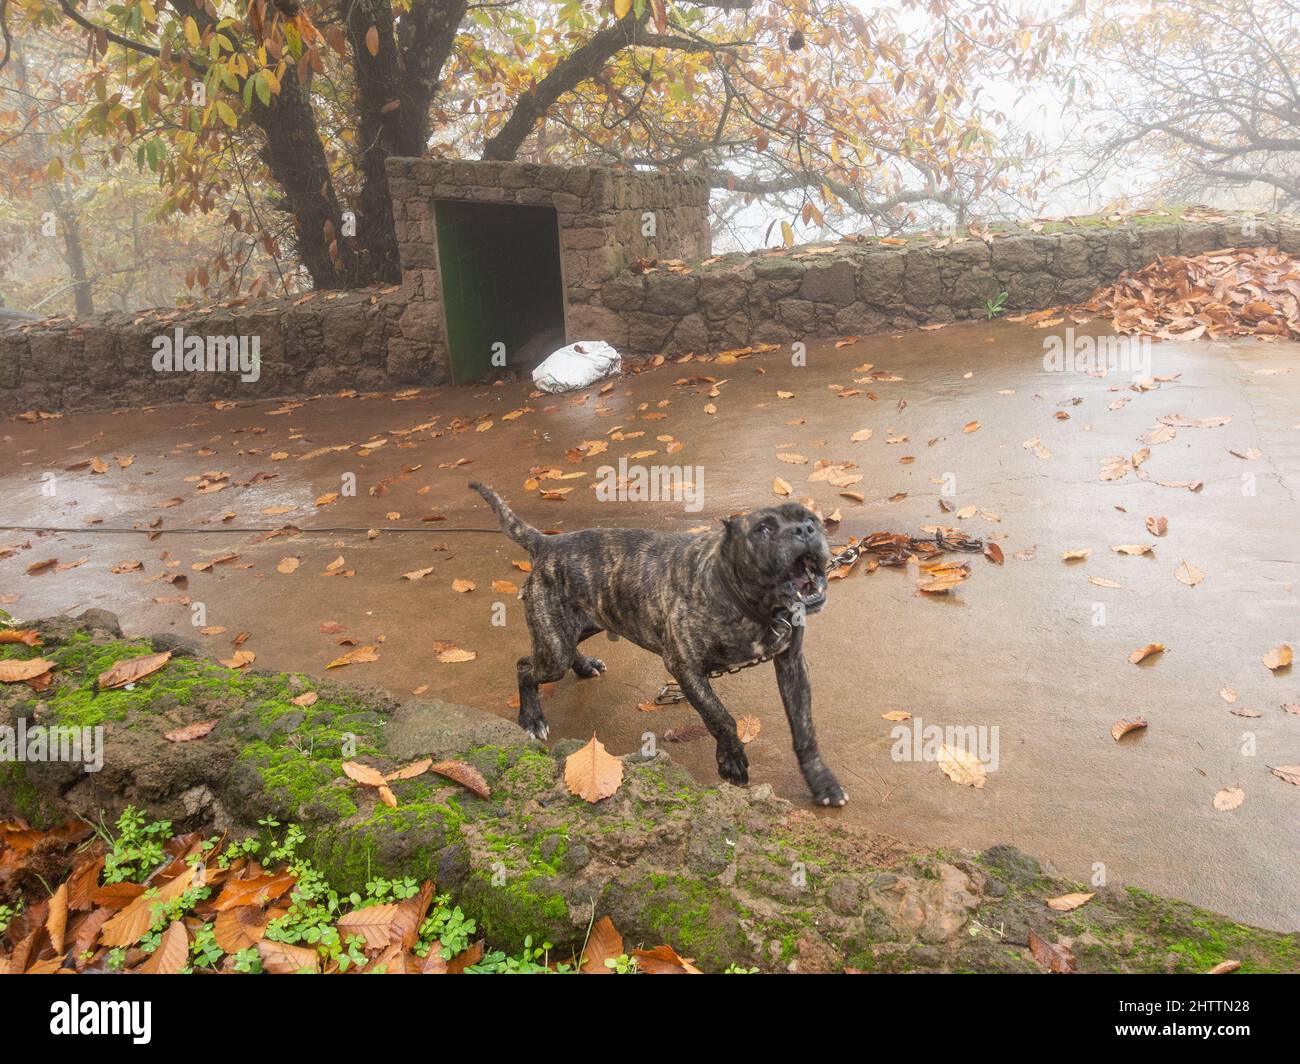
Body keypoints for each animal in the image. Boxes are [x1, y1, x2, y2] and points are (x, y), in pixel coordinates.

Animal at [473, 481, 847, 806]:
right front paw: (731, 759)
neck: (747, 602)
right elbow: (720, 717)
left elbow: (805, 730)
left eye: (811, 520)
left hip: (585, 623)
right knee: (525, 666)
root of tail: (548, 544)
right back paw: (531, 717)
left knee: (567, 649)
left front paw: (822, 782)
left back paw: (584, 665)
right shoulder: (684, 668)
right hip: (553, 652)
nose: (805, 531)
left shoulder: (792, 664)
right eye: (764, 529)